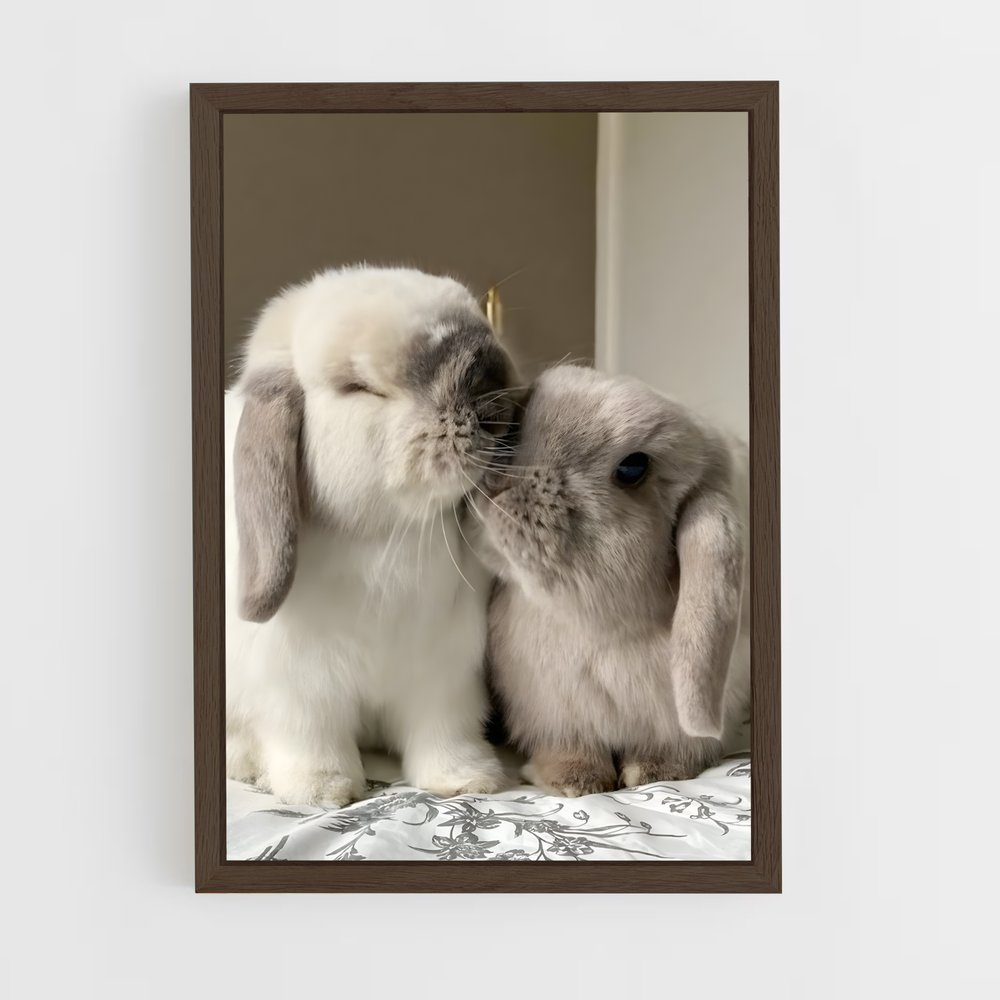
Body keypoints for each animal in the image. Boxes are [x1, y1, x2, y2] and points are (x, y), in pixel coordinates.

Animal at [225, 265, 521, 807]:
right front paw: (323, 790)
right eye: (358, 386)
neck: (385, 537)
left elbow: (444, 734)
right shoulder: (299, 690)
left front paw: (468, 780)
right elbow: (311, 738)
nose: (492, 394)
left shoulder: (443, 679)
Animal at [474, 364, 750, 797]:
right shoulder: (554, 713)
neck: (604, 633)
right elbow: (570, 746)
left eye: (633, 468)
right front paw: (575, 780)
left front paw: (654, 771)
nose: (499, 480)